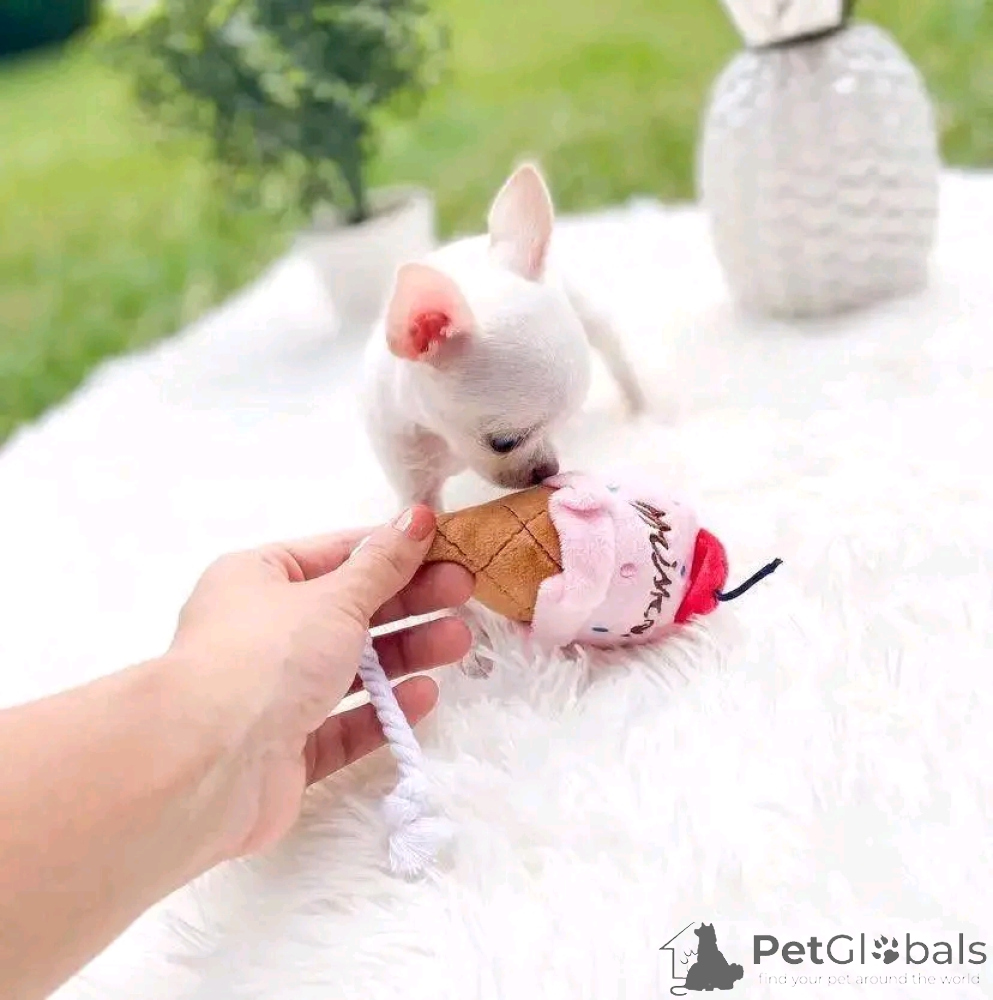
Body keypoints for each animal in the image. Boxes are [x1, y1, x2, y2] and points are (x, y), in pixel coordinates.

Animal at [360, 162, 646, 510]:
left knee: (613, 350)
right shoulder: (411, 471)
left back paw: (639, 407)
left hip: (586, 309)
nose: (550, 468)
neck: (447, 442)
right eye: (504, 443)